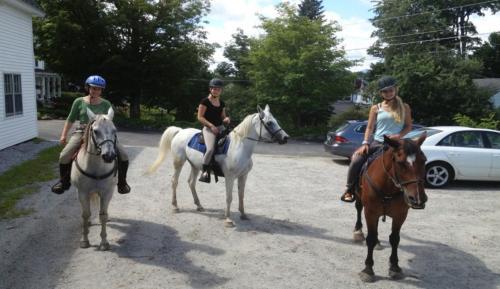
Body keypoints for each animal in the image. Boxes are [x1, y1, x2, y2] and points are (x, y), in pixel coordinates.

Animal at [71, 107, 118, 249]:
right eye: (96, 131)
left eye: (114, 130)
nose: (109, 156)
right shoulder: (82, 192)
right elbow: (86, 215)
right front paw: (84, 240)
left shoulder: (107, 192)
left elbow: (102, 215)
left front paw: (104, 242)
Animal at [148, 104, 290, 226]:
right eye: (269, 122)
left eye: (275, 120)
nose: (285, 138)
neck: (240, 146)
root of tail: (180, 131)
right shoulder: (230, 177)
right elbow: (229, 197)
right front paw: (228, 219)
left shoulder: (243, 176)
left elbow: (241, 195)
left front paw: (243, 214)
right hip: (179, 162)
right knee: (174, 181)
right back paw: (175, 206)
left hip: (195, 166)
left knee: (191, 183)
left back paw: (199, 205)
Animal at [354, 133, 428, 282]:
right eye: (400, 162)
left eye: (424, 160)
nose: (418, 199)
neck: (387, 186)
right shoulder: (370, 212)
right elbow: (370, 238)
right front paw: (368, 269)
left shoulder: (400, 215)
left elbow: (395, 239)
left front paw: (394, 266)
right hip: (360, 199)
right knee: (358, 208)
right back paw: (358, 231)